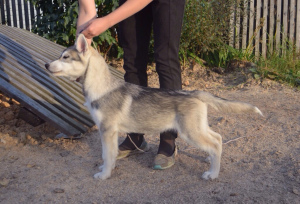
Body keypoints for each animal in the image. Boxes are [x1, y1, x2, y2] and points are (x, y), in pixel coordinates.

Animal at [44, 34, 262, 180]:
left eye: (65, 57)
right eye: (60, 55)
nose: (46, 65)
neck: (102, 88)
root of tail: (195, 92)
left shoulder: (106, 131)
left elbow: (107, 155)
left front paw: (104, 175)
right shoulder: (111, 134)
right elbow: (111, 155)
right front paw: (108, 169)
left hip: (190, 132)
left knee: (215, 144)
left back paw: (212, 174)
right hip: (198, 128)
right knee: (218, 138)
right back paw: (211, 161)